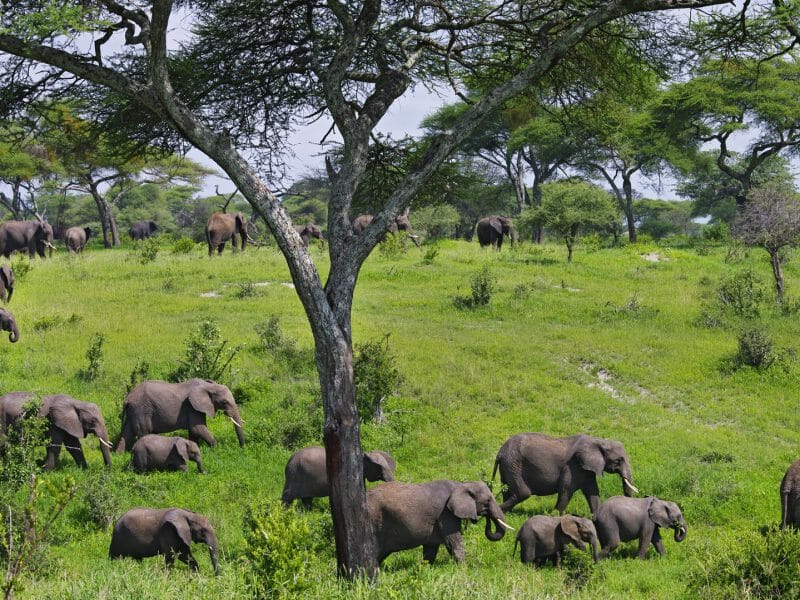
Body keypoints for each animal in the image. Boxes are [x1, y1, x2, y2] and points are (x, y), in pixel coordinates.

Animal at [116, 379, 244, 452]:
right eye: (224, 402)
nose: (241, 447)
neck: (208, 386)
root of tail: (127, 399)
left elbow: (194, 431)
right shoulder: (192, 406)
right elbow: (198, 428)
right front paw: (217, 449)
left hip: (133, 411)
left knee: (126, 433)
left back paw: (119, 455)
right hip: (141, 410)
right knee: (144, 432)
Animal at [367, 480, 513, 564]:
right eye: (487, 501)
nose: (486, 517)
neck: (462, 485)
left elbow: (431, 548)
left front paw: (426, 568)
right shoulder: (445, 514)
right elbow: (454, 542)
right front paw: (464, 569)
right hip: (374, 521)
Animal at [493, 433, 638, 514]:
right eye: (618, 460)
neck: (599, 441)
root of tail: (500, 453)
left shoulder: (586, 469)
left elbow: (592, 491)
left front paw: (596, 518)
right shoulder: (573, 466)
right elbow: (566, 489)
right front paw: (555, 516)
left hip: (509, 466)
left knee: (507, 490)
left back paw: (508, 513)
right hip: (513, 464)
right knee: (523, 493)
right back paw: (500, 512)